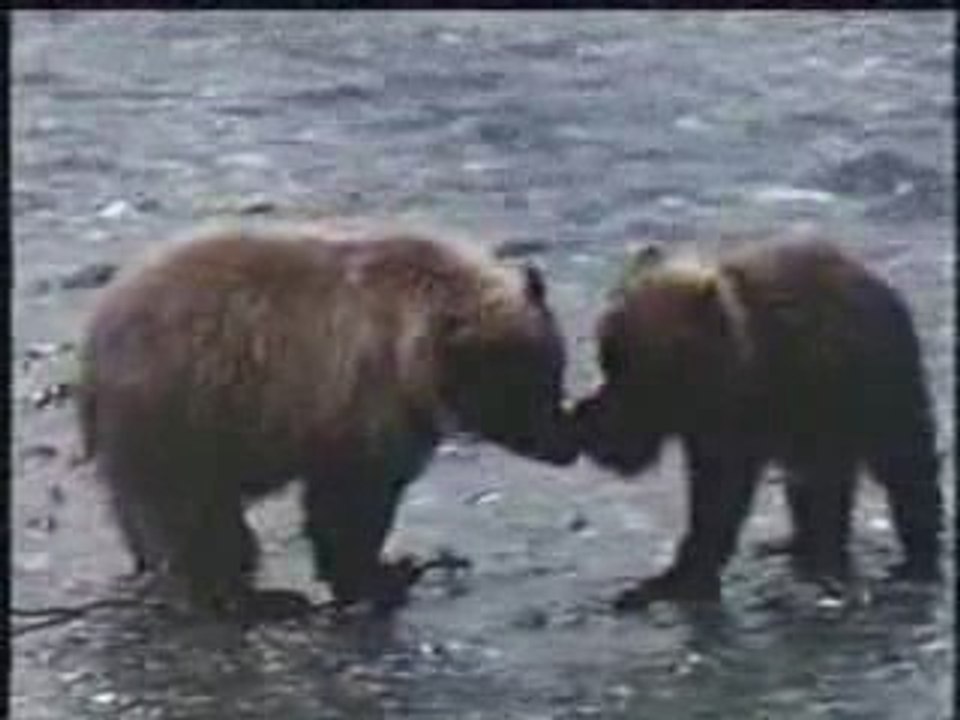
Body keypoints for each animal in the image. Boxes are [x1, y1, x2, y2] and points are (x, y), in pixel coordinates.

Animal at [76, 221, 577, 618]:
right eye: (517, 392)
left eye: (554, 374)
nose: (563, 446)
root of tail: (94, 340)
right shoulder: (361, 401)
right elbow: (350, 500)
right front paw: (381, 576)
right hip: (184, 411)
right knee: (191, 514)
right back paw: (242, 595)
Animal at [573, 239, 943, 610]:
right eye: (606, 357)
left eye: (640, 372)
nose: (592, 429)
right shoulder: (713, 426)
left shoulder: (746, 418)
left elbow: (719, 498)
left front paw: (675, 580)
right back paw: (798, 545)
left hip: (878, 390)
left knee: (905, 467)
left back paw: (912, 558)